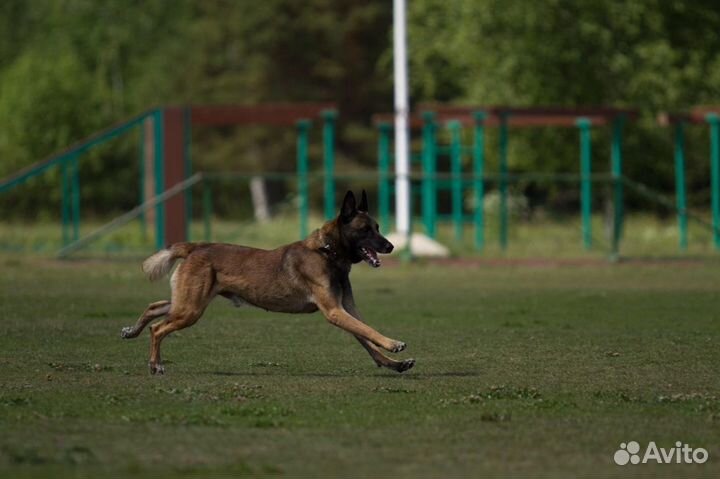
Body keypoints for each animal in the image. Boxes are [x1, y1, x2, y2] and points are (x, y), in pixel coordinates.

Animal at [121, 190, 414, 376]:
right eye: (365, 230)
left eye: (378, 227)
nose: (391, 246)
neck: (327, 251)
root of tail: (196, 246)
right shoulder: (334, 311)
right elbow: (369, 332)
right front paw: (393, 344)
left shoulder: (346, 309)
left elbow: (366, 337)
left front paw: (393, 363)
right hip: (191, 309)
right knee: (158, 329)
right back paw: (155, 365)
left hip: (187, 302)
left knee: (155, 307)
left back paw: (132, 331)